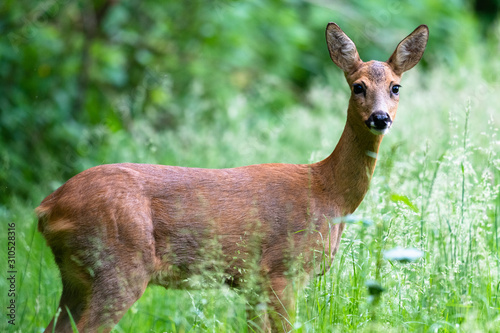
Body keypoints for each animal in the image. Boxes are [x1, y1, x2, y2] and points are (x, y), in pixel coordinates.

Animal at [37, 22, 428, 330]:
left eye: (395, 87)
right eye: (357, 86)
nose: (380, 118)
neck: (328, 193)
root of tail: (48, 207)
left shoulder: (252, 281)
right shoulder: (281, 269)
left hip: (76, 277)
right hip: (118, 263)